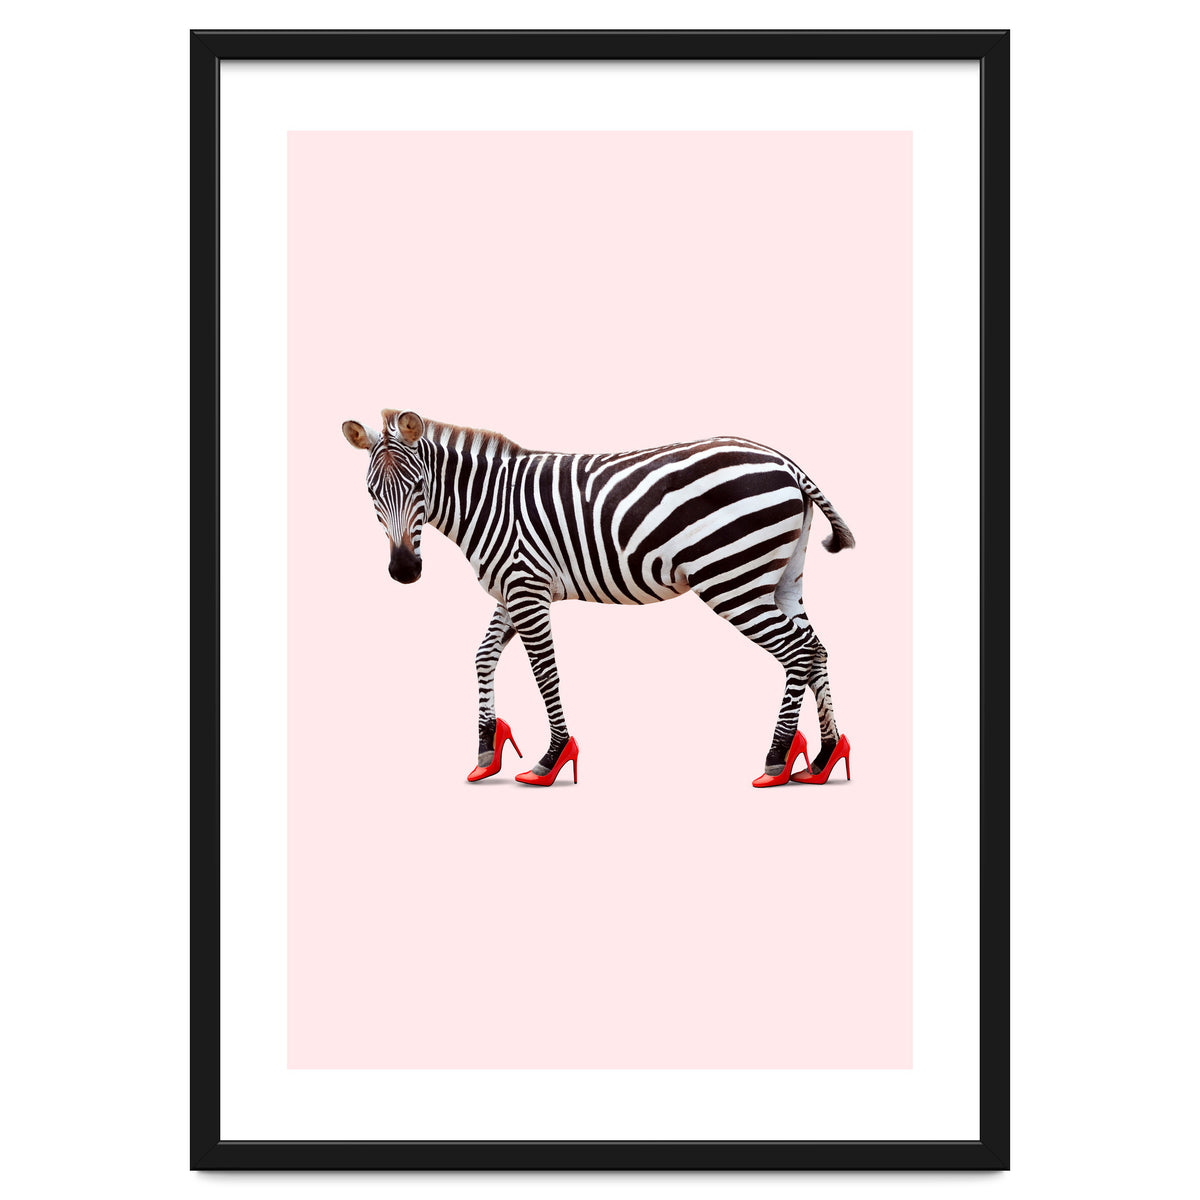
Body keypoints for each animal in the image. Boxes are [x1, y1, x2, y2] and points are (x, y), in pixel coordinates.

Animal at [342, 409, 854, 787]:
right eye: (370, 493)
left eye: (418, 487)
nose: (404, 571)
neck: (488, 503)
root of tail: (785, 462)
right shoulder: (511, 590)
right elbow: (484, 657)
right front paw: (487, 752)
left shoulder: (527, 588)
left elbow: (546, 673)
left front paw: (552, 758)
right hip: (783, 579)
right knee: (816, 649)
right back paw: (823, 758)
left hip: (733, 578)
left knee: (796, 650)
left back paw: (777, 759)